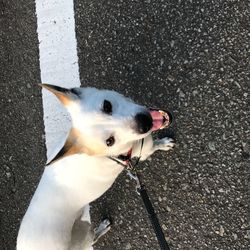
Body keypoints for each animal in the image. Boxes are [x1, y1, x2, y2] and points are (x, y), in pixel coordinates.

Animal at [16, 84, 175, 250]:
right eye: (109, 141)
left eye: (107, 105)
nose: (144, 122)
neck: (106, 154)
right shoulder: (144, 151)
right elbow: (154, 146)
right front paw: (163, 144)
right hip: (82, 235)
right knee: (91, 238)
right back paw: (103, 227)